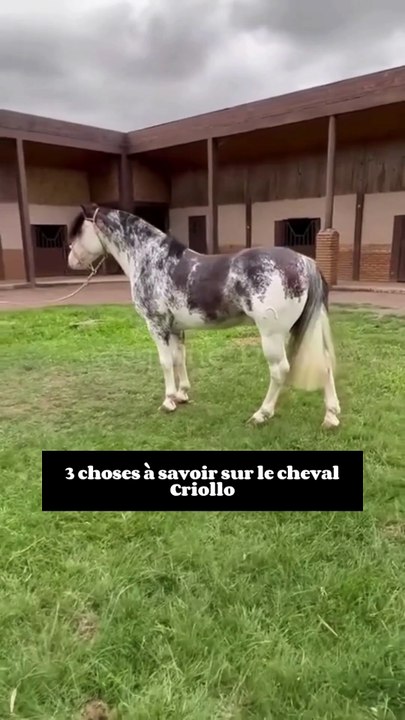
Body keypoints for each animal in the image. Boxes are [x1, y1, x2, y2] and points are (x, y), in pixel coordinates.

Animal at [67, 203, 340, 428]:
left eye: (79, 231)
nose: (71, 260)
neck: (153, 259)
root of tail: (304, 261)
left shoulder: (156, 325)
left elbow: (165, 362)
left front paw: (168, 401)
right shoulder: (175, 328)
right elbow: (179, 359)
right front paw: (182, 394)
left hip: (272, 336)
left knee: (280, 370)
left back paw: (261, 414)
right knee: (325, 365)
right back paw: (331, 416)